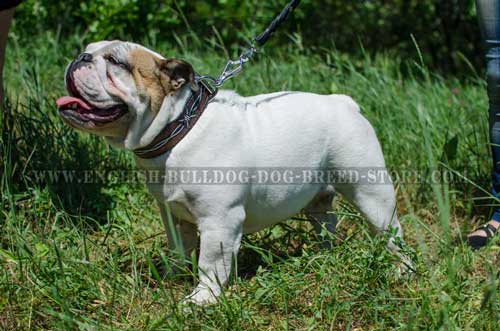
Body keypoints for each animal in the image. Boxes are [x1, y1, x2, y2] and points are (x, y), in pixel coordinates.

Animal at [56, 40, 408, 306]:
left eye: (115, 62)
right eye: (88, 50)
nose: (80, 57)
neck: (178, 129)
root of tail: (344, 102)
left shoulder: (219, 222)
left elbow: (210, 264)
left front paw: (201, 299)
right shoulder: (174, 216)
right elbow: (179, 248)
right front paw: (172, 275)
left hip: (370, 193)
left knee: (392, 233)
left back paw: (401, 271)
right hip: (317, 201)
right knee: (326, 226)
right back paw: (323, 258)